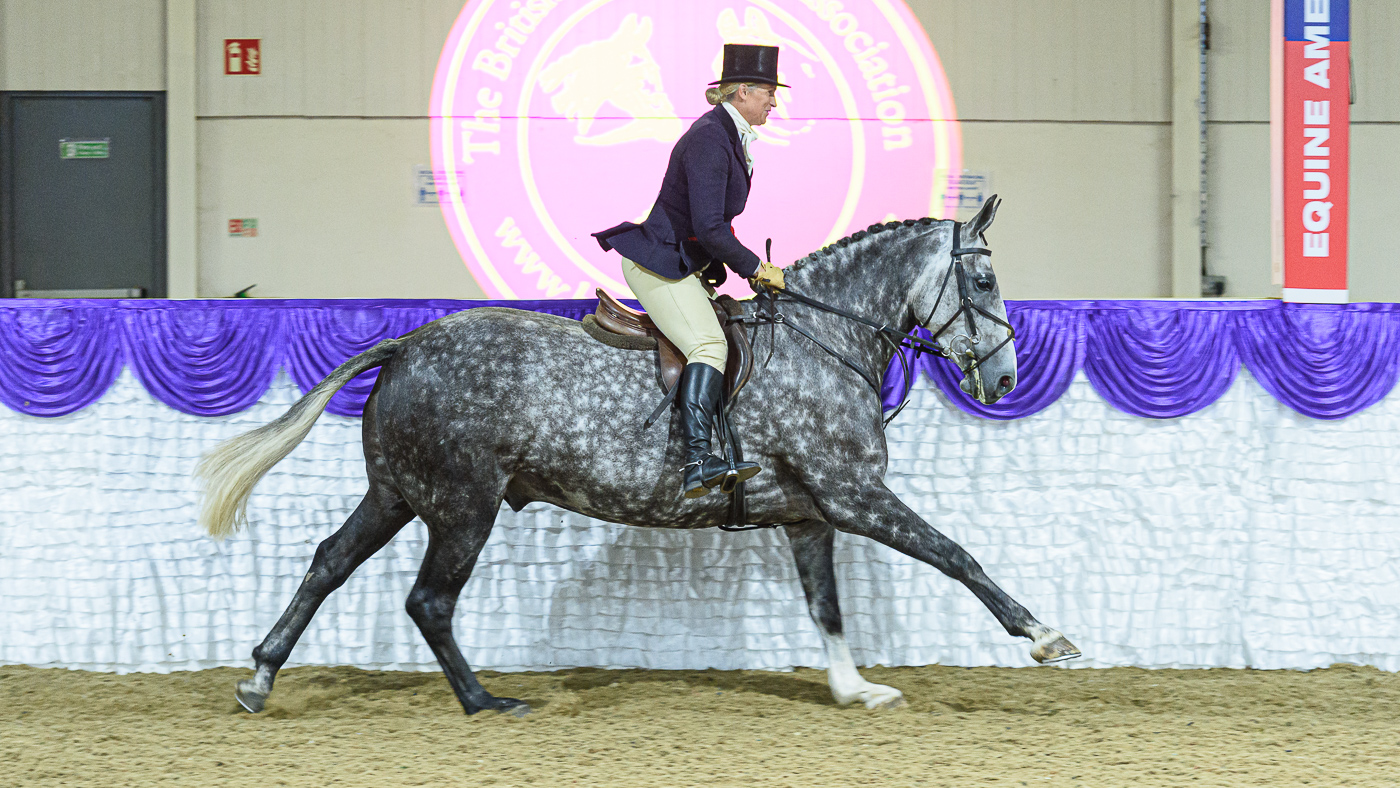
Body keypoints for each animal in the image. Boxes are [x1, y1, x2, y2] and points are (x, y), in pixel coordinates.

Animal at [196, 196, 1082, 716]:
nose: (1006, 379)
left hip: (398, 493)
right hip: (462, 506)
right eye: (986, 280)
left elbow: (826, 606)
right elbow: (958, 556)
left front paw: (853, 686)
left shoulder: (810, 513)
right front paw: (1045, 635)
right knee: (428, 601)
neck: (825, 338)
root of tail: (409, 342)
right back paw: (486, 702)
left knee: (328, 562)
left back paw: (260, 678)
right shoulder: (853, 494)